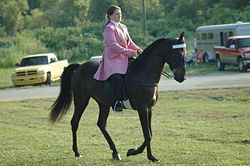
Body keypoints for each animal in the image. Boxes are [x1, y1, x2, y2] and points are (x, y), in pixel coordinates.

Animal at [49, 32, 186, 162]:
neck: (144, 73)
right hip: (81, 100)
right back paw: (77, 152)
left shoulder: (149, 108)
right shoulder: (142, 108)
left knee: (101, 124)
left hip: (103, 103)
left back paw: (115, 153)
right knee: (75, 122)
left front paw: (145, 155)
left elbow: (150, 133)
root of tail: (79, 67)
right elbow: (147, 134)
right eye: (178, 54)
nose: (182, 77)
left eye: (185, 53)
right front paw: (138, 153)